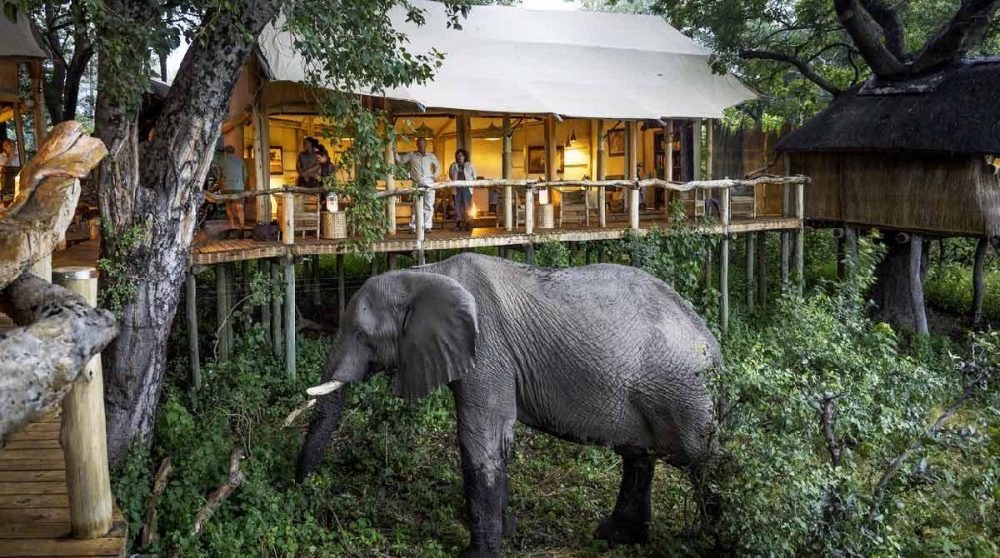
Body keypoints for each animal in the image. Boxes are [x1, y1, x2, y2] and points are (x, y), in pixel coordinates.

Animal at [297, 252, 722, 557]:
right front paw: (510, 532)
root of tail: (712, 343)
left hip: (683, 391)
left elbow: (480, 437)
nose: (300, 489)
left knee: (704, 462)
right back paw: (614, 537)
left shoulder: (487, 349)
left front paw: (477, 555)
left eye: (361, 335)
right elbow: (496, 439)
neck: (425, 273)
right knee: (638, 456)